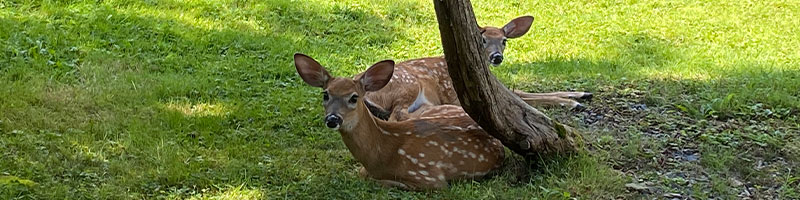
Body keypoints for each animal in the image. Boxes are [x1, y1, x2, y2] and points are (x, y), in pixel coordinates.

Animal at [294, 53, 506, 191]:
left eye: (354, 97)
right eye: (325, 94)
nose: (333, 118)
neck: (381, 154)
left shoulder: (429, 177)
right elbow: (362, 175)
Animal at [362, 15, 592, 121]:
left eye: (504, 41)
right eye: (482, 40)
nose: (497, 57)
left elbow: (524, 93)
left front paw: (581, 94)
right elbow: (527, 99)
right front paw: (572, 103)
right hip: (409, 84)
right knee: (398, 115)